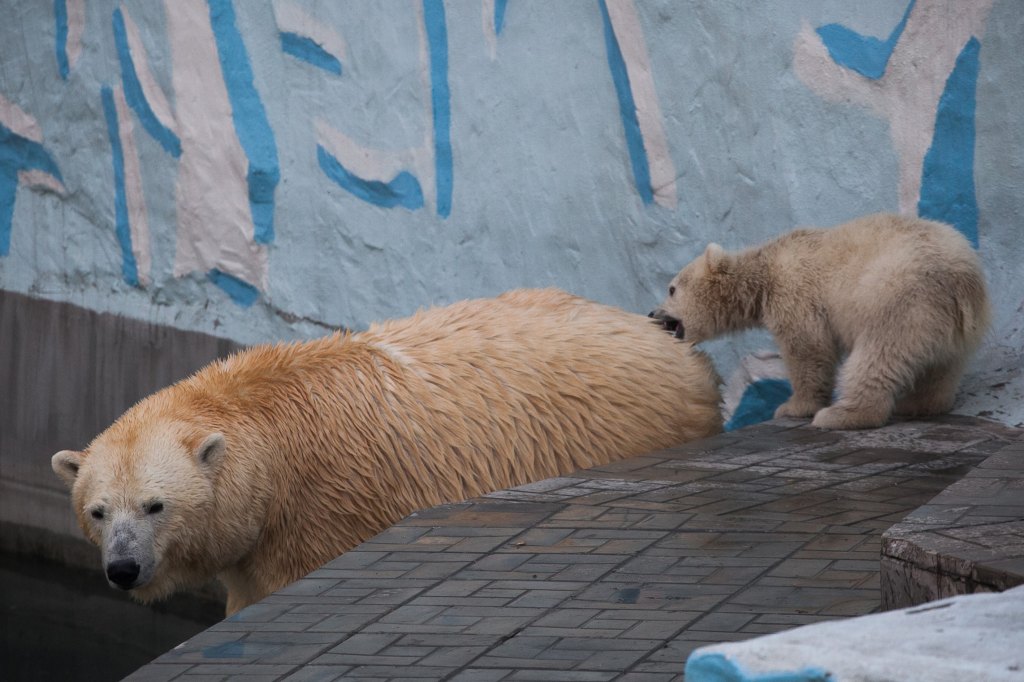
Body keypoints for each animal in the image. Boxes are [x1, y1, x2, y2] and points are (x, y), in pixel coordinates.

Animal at [650, 213, 990, 430]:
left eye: (671, 288)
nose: (653, 314)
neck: (765, 272)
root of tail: (961, 278)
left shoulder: (796, 294)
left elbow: (808, 350)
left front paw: (793, 407)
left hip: (896, 300)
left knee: (876, 358)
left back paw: (842, 415)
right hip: (954, 326)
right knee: (942, 368)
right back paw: (919, 403)